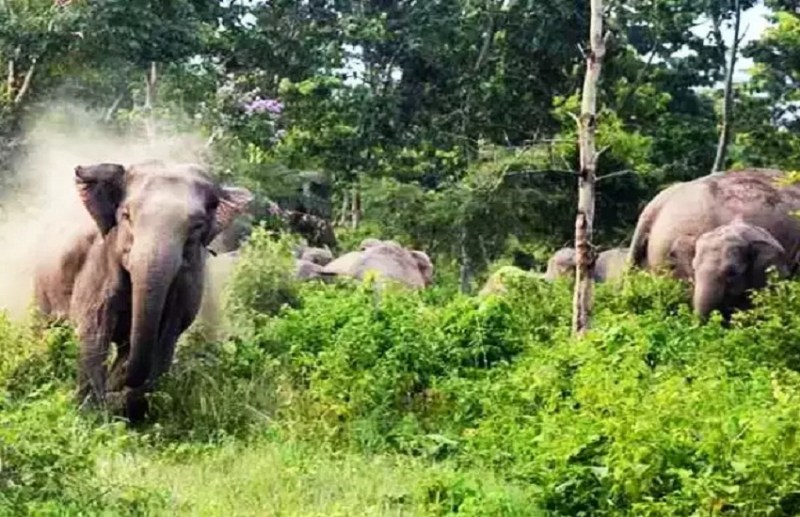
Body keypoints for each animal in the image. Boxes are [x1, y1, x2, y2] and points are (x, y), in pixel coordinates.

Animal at [33, 160, 252, 422]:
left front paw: (123, 404)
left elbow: (166, 335)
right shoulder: (99, 262)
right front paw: (91, 413)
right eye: (126, 216)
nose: (114, 391)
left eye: (197, 227)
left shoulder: (188, 282)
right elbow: (94, 327)